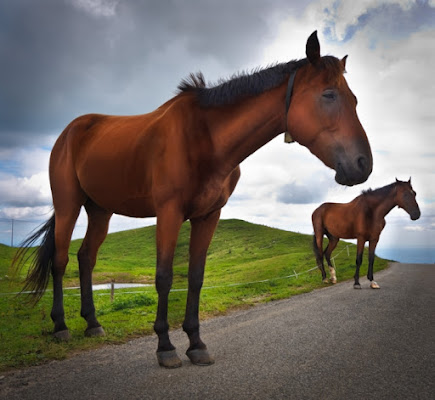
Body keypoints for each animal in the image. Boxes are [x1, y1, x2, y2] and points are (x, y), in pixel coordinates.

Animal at [14, 32, 374, 368]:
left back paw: (92, 323)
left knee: (86, 258)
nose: (363, 165)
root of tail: (71, 131)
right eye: (328, 95)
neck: (204, 138)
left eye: (356, 99)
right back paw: (61, 326)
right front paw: (166, 346)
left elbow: (196, 277)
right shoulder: (169, 213)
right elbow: (164, 277)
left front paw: (196, 344)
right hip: (68, 205)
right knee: (60, 261)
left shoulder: (208, 216)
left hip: (100, 210)